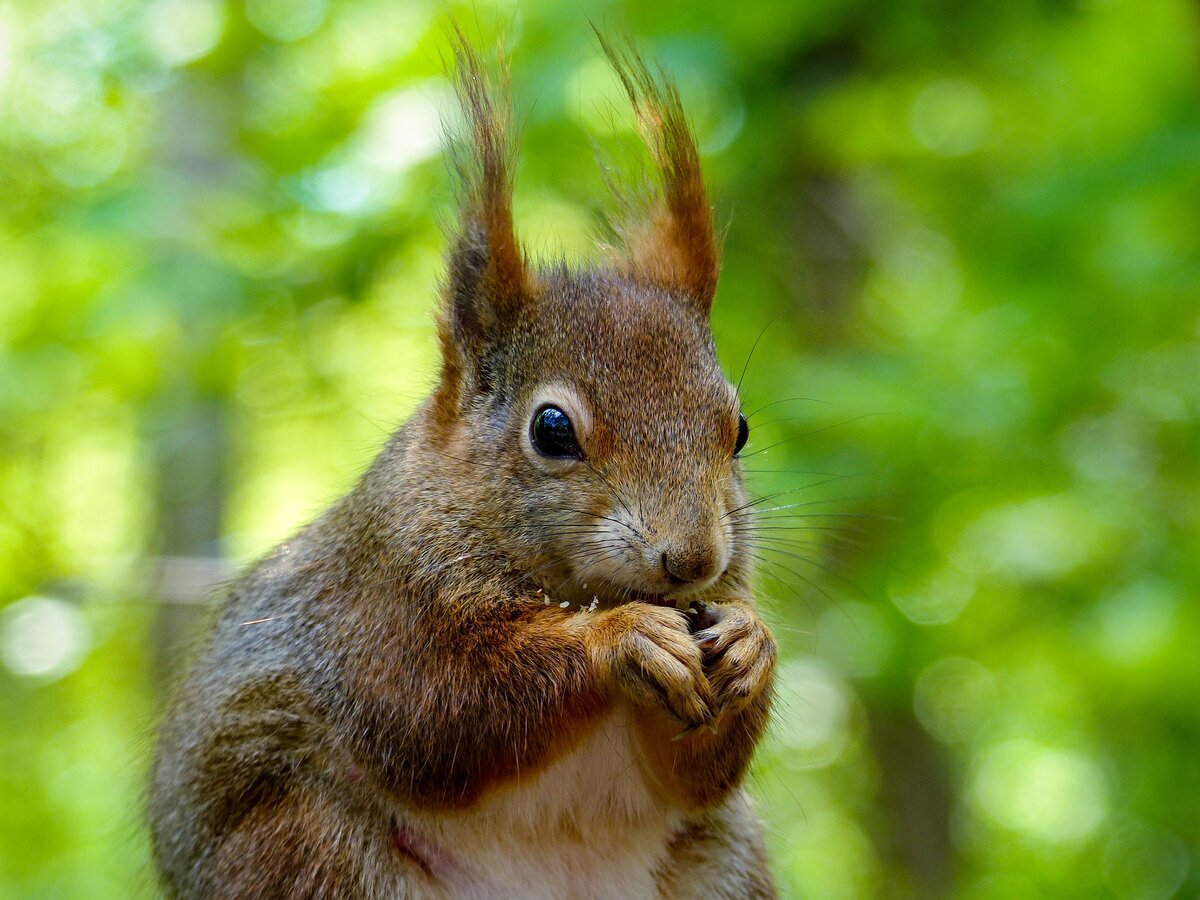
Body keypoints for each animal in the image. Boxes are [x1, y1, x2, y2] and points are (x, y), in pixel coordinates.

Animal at [147, 31, 777, 897]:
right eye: (552, 429)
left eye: (739, 428)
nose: (692, 559)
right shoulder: (377, 610)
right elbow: (439, 710)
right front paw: (619, 639)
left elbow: (697, 774)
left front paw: (752, 643)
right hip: (307, 849)